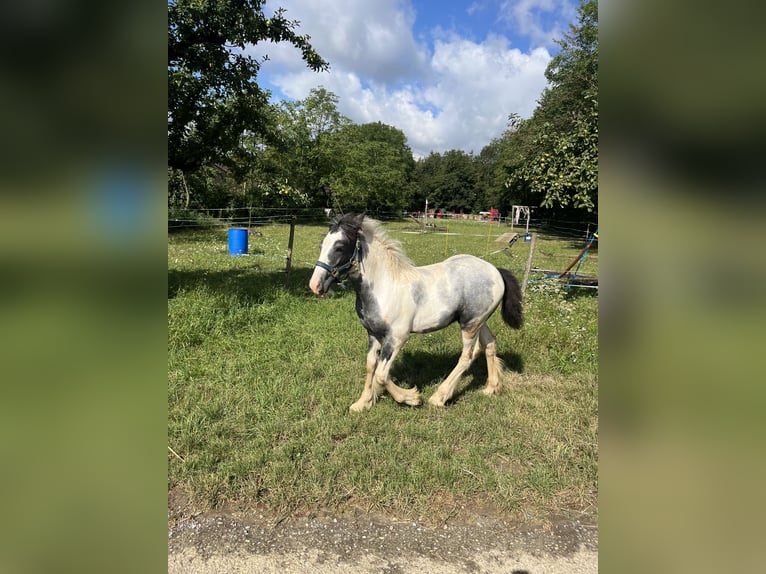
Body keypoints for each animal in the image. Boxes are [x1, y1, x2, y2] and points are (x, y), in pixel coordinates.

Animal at [310, 214, 520, 412]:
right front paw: (363, 403)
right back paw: (491, 388)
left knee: (467, 356)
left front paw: (411, 397)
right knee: (489, 344)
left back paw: (439, 397)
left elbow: (381, 375)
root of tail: (495, 271)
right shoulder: (373, 334)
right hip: (478, 321)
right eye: (322, 245)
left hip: (470, 324)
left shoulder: (397, 338)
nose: (315, 285)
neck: (384, 287)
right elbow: (371, 366)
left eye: (340, 247)